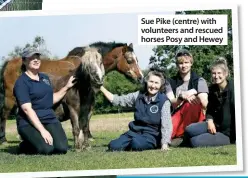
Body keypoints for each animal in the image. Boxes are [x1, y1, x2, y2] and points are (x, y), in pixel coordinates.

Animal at [0, 41, 143, 146]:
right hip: (9, 98)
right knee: (4, 115)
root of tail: (9, 63)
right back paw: (3, 140)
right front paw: (84, 138)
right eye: (130, 60)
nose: (140, 77)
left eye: (137, 59)